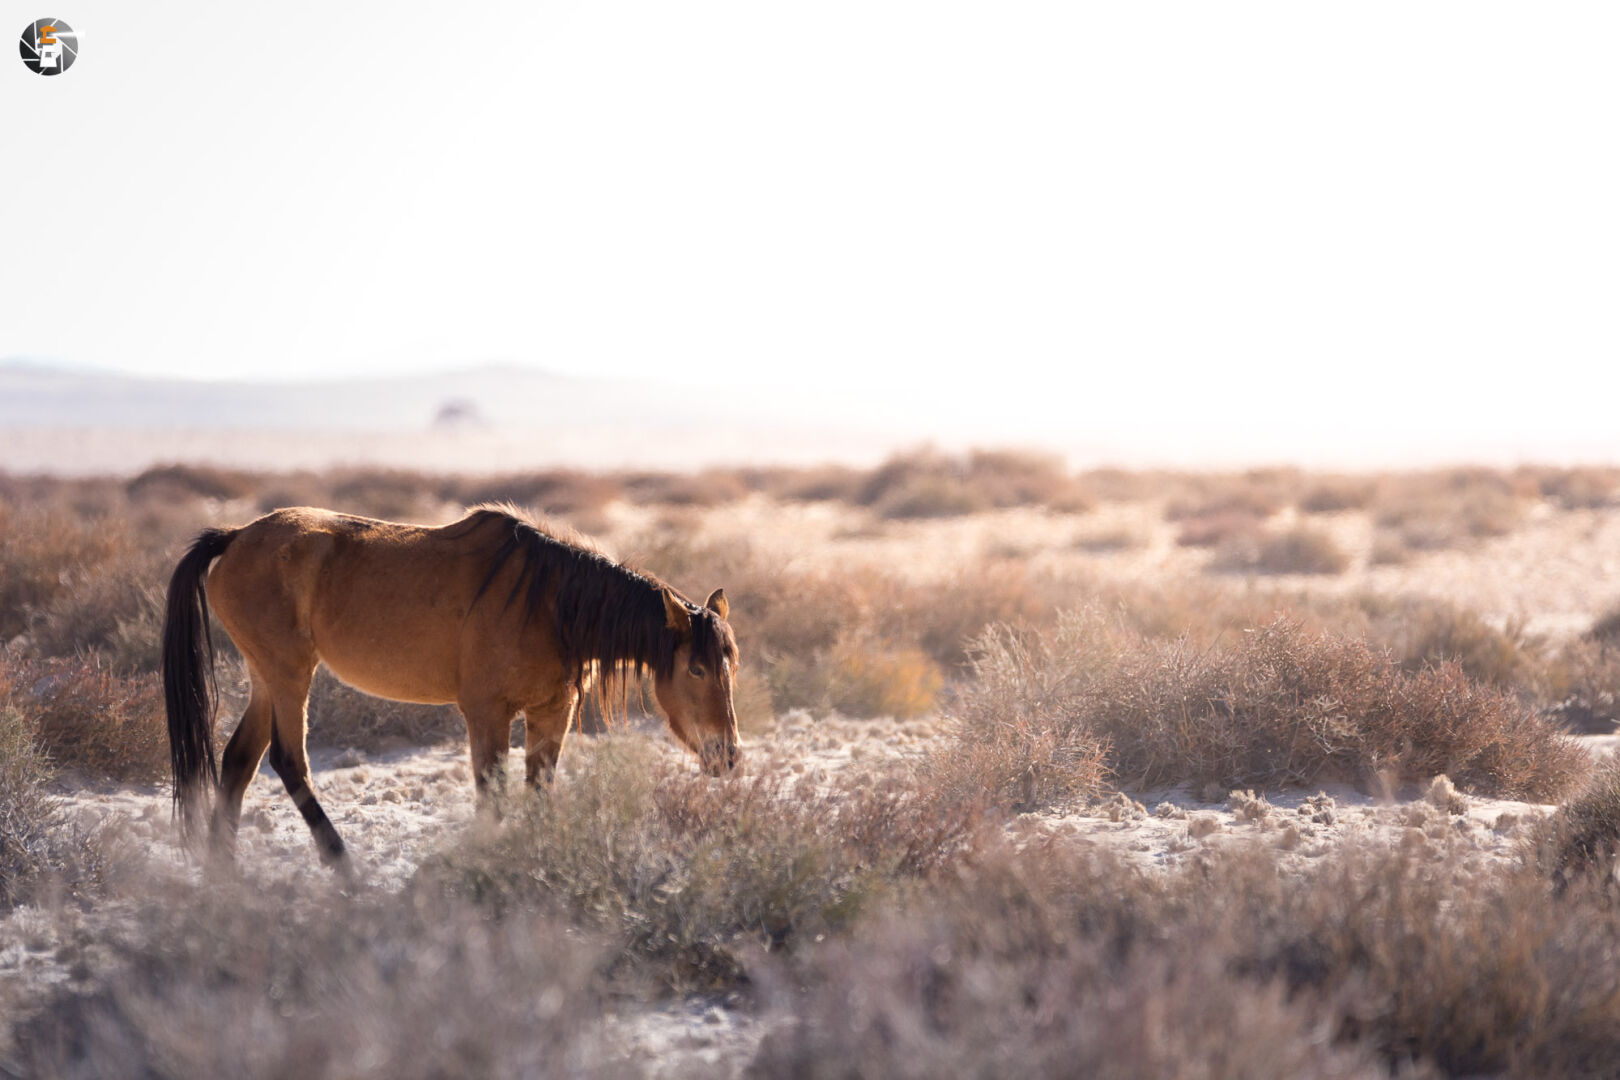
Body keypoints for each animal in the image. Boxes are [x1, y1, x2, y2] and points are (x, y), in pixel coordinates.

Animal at [161, 504, 741, 867]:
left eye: (730, 664)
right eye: (696, 669)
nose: (729, 755)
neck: (550, 604)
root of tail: (235, 536)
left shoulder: (552, 712)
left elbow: (539, 790)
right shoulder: (487, 713)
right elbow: (493, 797)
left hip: (266, 676)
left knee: (239, 760)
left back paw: (225, 877)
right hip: (288, 673)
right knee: (287, 760)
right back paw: (342, 865)